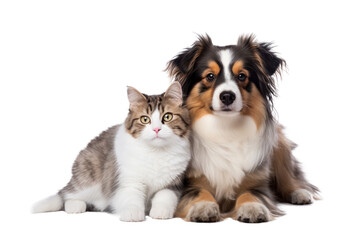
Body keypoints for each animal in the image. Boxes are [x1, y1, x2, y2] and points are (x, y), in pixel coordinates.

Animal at [33, 82, 191, 221]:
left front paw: (160, 212)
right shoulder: (129, 181)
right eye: (145, 119)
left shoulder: (173, 183)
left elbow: (165, 197)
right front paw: (133, 214)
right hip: (89, 179)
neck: (156, 152)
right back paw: (75, 206)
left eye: (167, 116)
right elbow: (132, 197)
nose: (156, 129)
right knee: (67, 195)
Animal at [166, 34, 318, 223]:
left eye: (241, 76)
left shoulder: (257, 181)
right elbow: (200, 192)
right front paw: (203, 207)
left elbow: (250, 194)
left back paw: (299, 193)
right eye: (210, 76)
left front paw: (252, 208)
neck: (226, 127)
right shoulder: (190, 182)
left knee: (290, 177)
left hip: (280, 145)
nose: (227, 96)